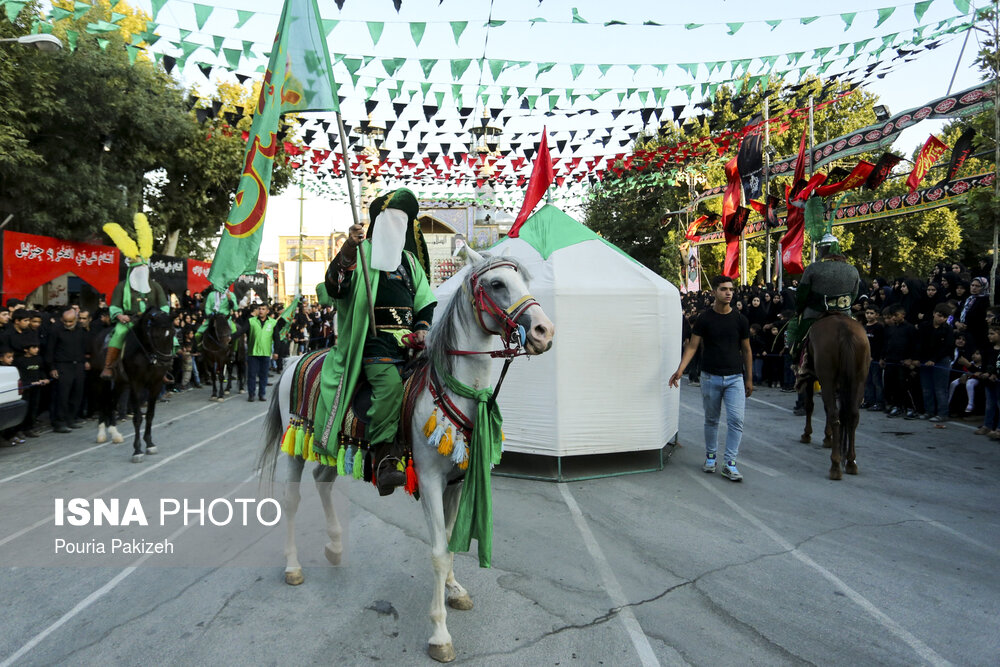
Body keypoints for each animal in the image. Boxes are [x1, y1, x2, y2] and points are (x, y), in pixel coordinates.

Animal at [96, 310, 175, 462]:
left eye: (173, 333)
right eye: (155, 335)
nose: (166, 362)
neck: (147, 354)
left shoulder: (156, 384)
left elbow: (150, 414)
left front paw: (149, 443)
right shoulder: (135, 385)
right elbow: (138, 417)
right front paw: (137, 450)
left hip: (120, 383)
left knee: (111, 401)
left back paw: (115, 433)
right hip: (102, 381)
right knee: (102, 401)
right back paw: (101, 433)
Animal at [258, 249, 556, 664]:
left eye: (525, 282)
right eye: (497, 284)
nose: (544, 331)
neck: (456, 388)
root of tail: (293, 362)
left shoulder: (456, 482)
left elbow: (450, 541)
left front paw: (454, 590)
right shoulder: (429, 481)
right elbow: (438, 551)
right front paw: (440, 634)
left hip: (328, 445)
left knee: (323, 482)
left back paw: (335, 547)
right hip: (296, 445)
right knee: (291, 501)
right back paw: (292, 566)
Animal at [800, 314, 872, 480]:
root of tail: (845, 332)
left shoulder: (812, 377)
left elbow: (810, 405)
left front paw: (807, 434)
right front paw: (828, 438)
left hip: (827, 376)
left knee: (834, 414)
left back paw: (835, 465)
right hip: (858, 380)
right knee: (852, 415)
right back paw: (850, 462)